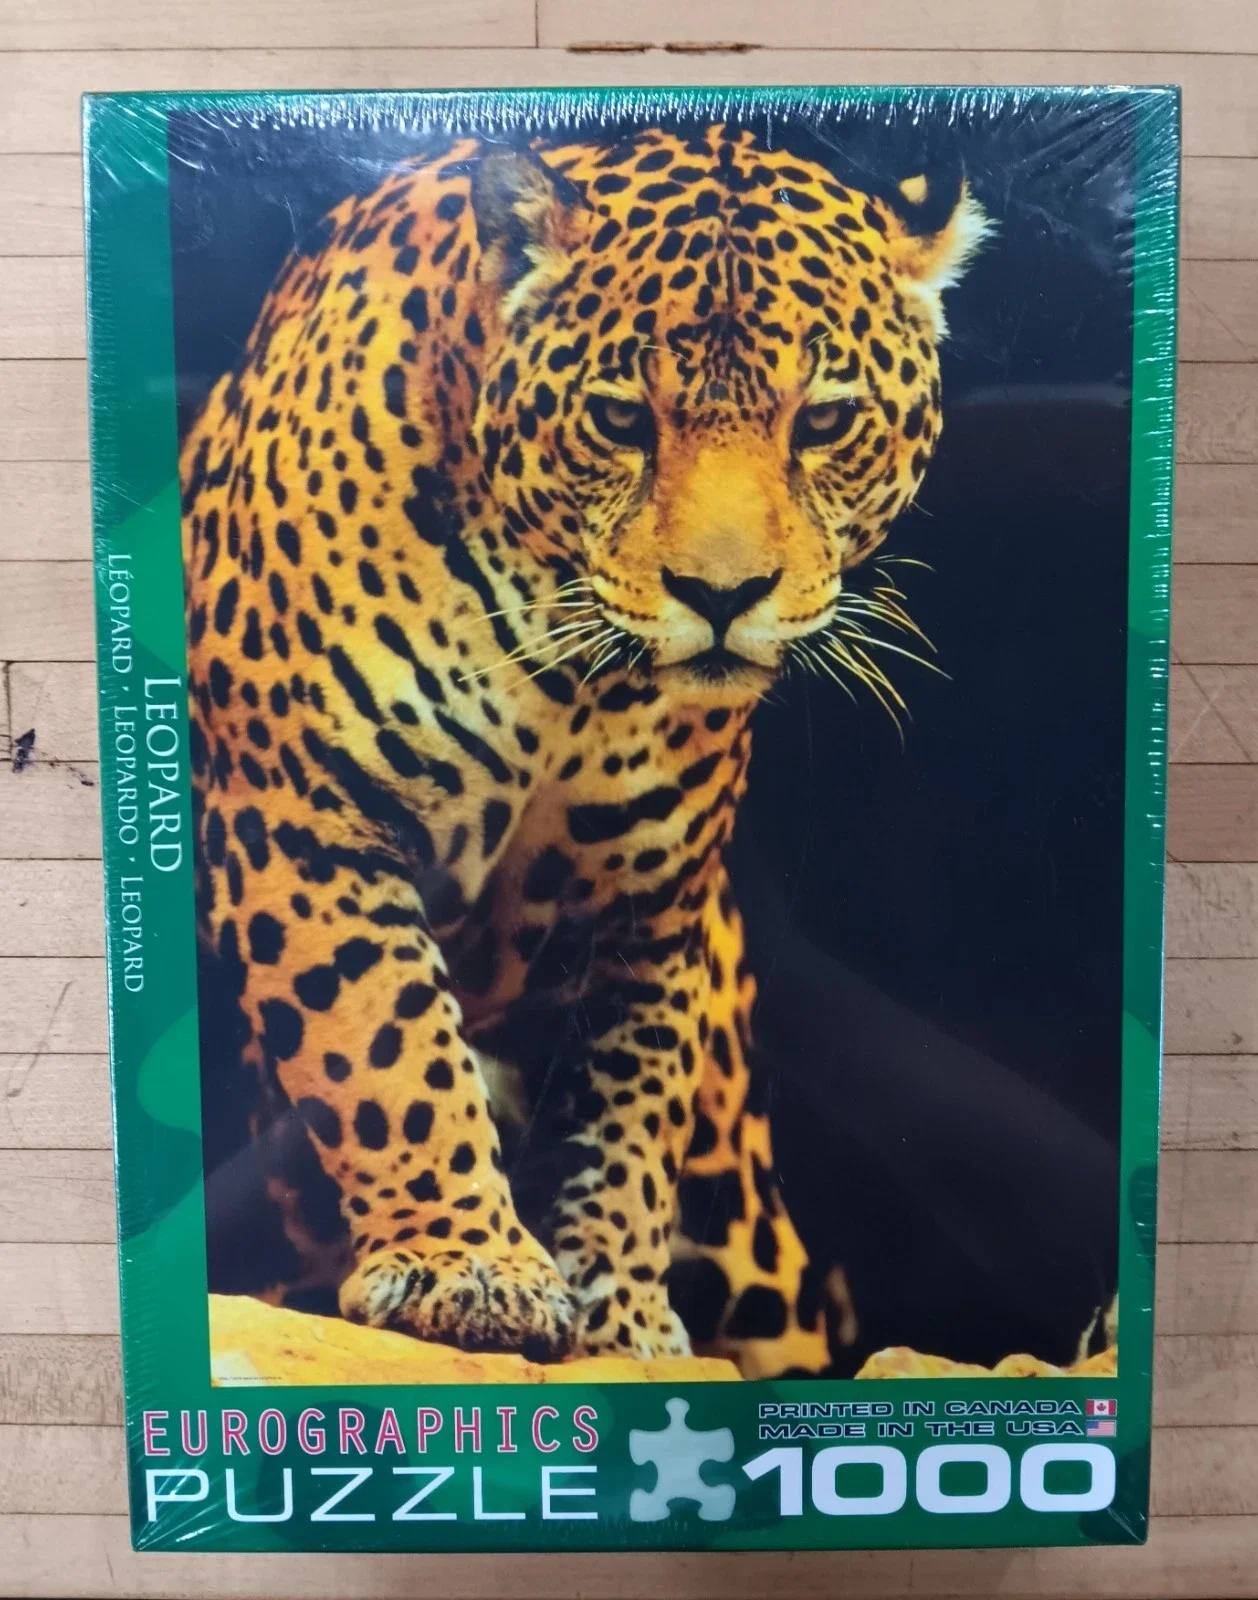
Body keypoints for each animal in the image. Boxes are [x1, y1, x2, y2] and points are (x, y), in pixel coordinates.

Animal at [183, 121, 989, 1378]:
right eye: (619, 421)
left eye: (822, 422)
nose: (723, 595)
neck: (570, 678)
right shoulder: (303, 815)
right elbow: (389, 1040)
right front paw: (469, 1266)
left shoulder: (650, 896)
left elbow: (629, 1103)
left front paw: (618, 1311)